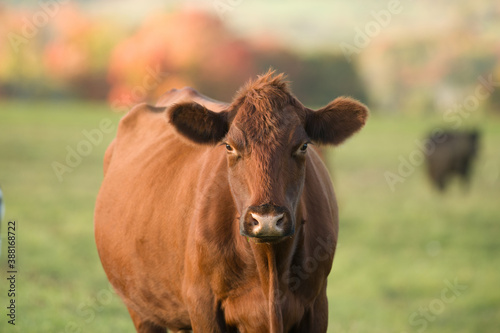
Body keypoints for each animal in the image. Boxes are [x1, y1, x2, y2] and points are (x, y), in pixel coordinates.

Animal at [94, 71, 368, 330]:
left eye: (303, 146)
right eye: (229, 146)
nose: (267, 219)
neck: (269, 269)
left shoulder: (317, 304)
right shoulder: (202, 305)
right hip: (140, 308)